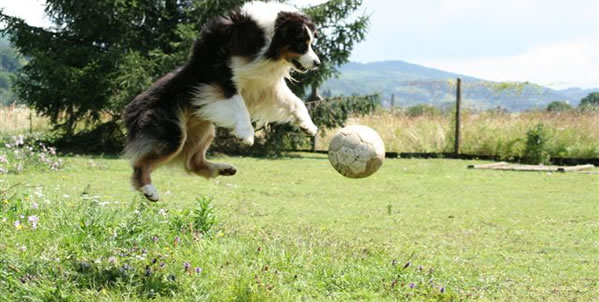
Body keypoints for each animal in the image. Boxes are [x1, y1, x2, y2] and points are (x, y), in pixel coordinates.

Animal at [120, 1, 318, 203]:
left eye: (311, 43)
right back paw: (148, 189)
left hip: (204, 130)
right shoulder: (221, 77)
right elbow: (238, 104)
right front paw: (246, 134)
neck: (266, 39)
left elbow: (295, 101)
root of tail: (129, 111)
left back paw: (223, 168)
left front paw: (308, 126)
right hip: (171, 132)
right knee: (141, 164)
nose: (317, 63)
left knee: (193, 162)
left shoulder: (264, 84)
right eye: (301, 44)